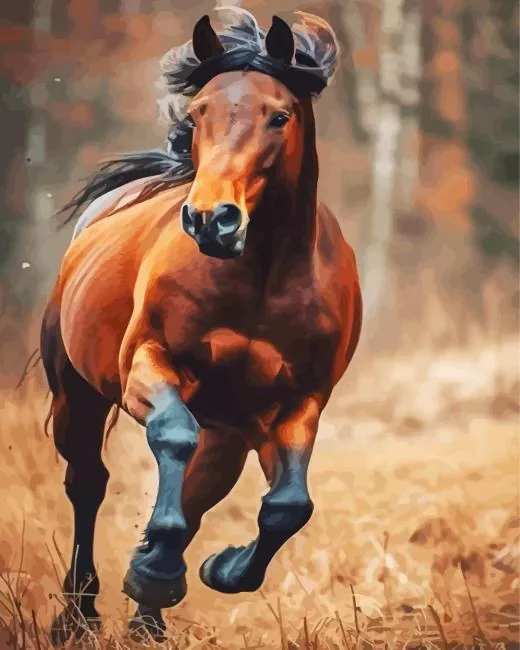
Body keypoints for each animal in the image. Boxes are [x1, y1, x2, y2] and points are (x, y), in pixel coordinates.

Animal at [40, 7, 362, 644]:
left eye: (279, 116)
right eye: (198, 114)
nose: (212, 220)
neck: (261, 279)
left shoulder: (299, 403)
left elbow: (288, 506)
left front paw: (212, 568)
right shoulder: (148, 361)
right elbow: (172, 433)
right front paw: (157, 571)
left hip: (229, 433)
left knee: (194, 493)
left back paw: (147, 612)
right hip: (76, 395)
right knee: (87, 482)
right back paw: (80, 613)